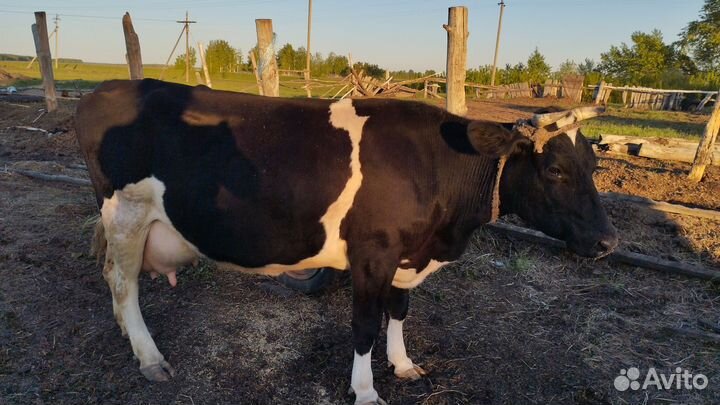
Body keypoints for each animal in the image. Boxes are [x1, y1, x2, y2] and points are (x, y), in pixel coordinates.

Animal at [75, 79, 618, 404]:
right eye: (555, 169)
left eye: (593, 165)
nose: (609, 242)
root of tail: (110, 87)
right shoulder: (373, 252)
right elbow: (364, 325)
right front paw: (366, 390)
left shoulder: (407, 254)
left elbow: (399, 311)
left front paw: (404, 365)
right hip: (126, 215)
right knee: (122, 284)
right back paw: (149, 357)